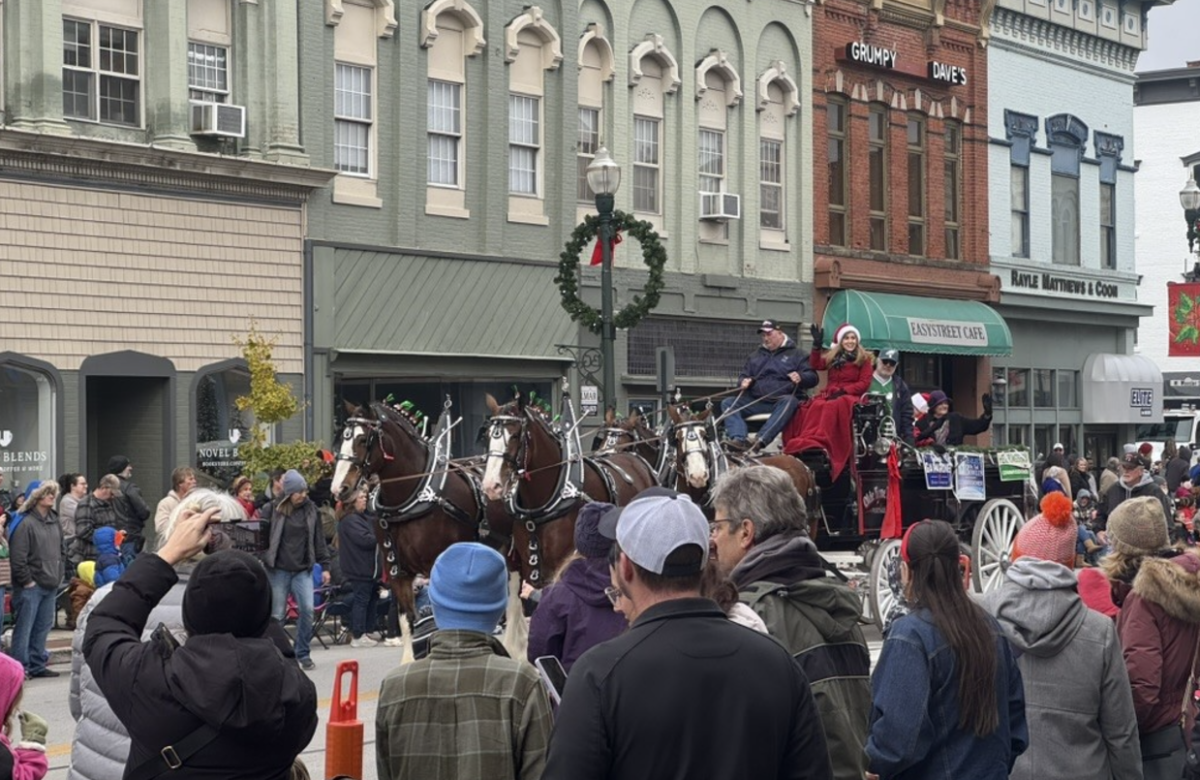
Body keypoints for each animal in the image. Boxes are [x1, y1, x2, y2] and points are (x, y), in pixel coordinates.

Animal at [331, 400, 508, 657]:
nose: (339, 488)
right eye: (341, 438)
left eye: (363, 439)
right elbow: (408, 624)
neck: (411, 496)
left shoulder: (438, 566)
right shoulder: (398, 572)